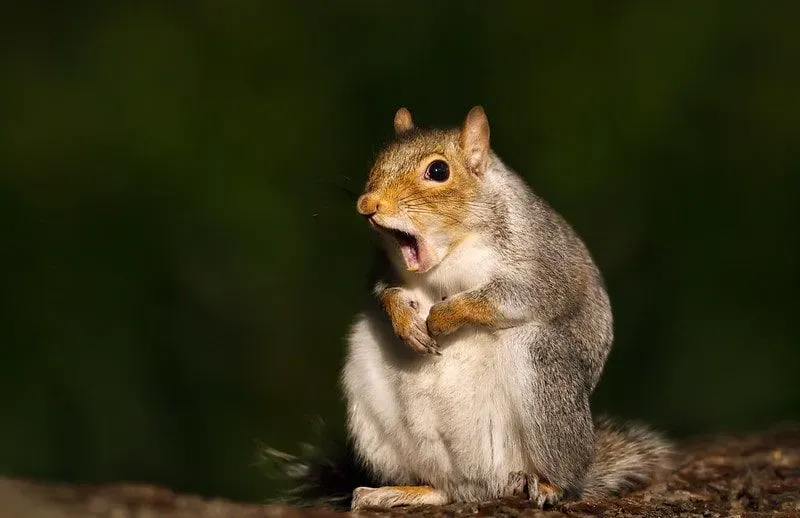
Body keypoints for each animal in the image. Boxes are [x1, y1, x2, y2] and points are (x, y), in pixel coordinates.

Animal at [266, 105, 672, 512]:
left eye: (438, 171)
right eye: (377, 160)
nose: (367, 204)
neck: (450, 251)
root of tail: (484, 483)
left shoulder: (543, 265)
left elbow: (512, 296)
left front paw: (442, 318)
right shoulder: (381, 267)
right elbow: (383, 290)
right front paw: (405, 320)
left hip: (543, 371)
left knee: (563, 472)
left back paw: (549, 484)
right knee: (444, 488)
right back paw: (400, 491)